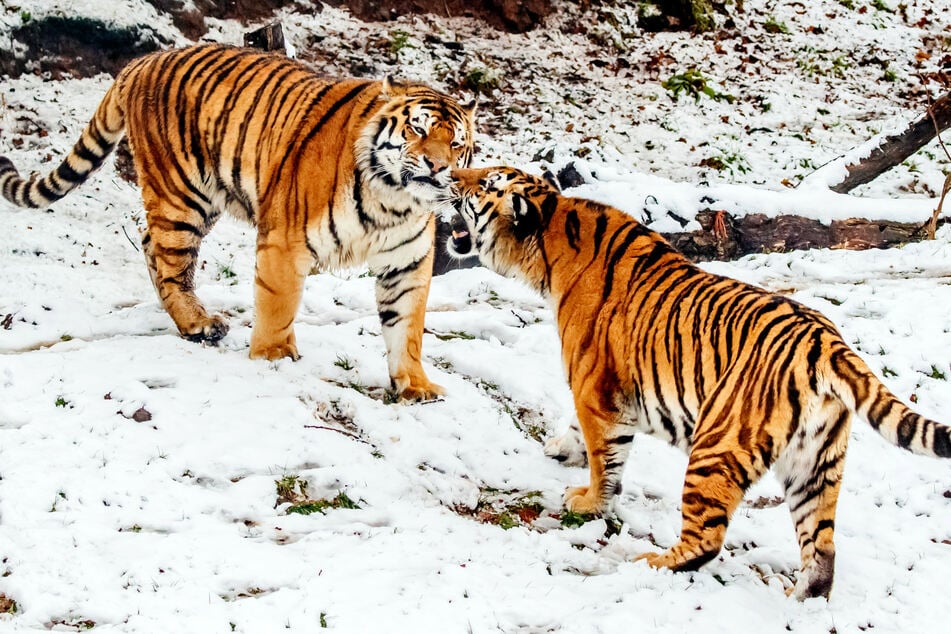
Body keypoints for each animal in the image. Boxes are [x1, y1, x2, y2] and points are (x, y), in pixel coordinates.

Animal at [0, 44, 476, 401]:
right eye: (417, 130)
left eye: (455, 143)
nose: (437, 167)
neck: (393, 201)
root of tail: (142, 61)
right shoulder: (285, 242)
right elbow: (279, 305)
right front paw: (274, 358)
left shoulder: (407, 264)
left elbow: (407, 328)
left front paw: (415, 385)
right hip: (181, 195)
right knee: (169, 259)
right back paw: (198, 324)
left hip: (202, 198)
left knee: (151, 244)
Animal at [446, 165, 951, 599]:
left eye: (485, 183)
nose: (450, 174)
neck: (551, 240)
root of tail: (826, 341)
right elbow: (584, 436)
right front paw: (562, 451)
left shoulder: (595, 387)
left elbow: (605, 459)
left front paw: (588, 502)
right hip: (815, 464)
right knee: (822, 549)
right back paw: (803, 598)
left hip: (717, 445)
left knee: (707, 539)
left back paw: (650, 563)